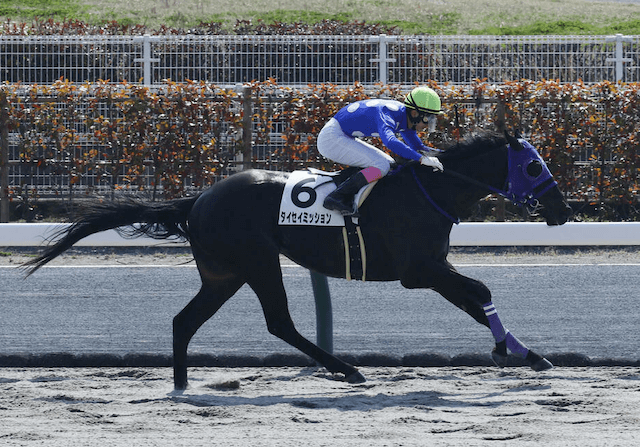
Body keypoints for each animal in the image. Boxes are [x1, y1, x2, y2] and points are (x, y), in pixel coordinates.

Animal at [23, 130, 568, 388]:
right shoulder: (418, 271)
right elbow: (481, 293)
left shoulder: (433, 268)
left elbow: (475, 302)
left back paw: (181, 385)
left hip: (224, 274)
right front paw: (511, 351)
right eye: (533, 166)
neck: (431, 190)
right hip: (258, 262)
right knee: (278, 322)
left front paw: (526, 353)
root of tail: (198, 199)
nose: (563, 211)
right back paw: (346, 369)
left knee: (185, 321)